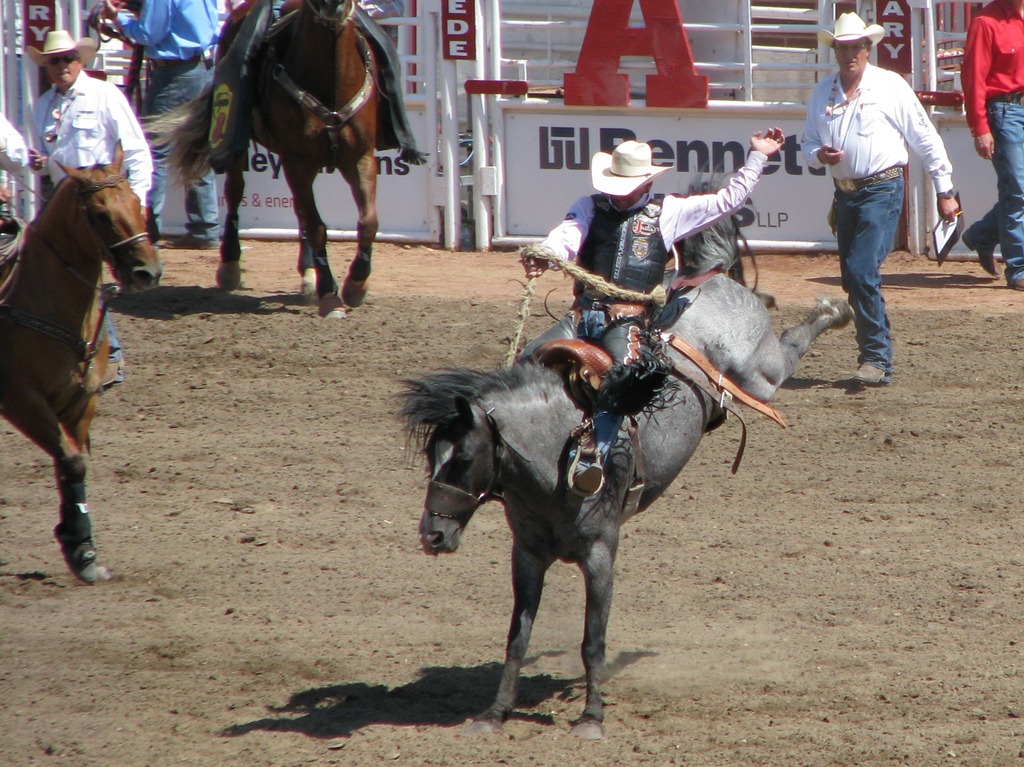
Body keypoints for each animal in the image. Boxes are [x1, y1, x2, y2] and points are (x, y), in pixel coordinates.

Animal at [0, 148, 161, 581]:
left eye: (137, 201)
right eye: (101, 214)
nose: (148, 272)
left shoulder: (81, 401)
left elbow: (71, 466)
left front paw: (81, 548)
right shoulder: (21, 398)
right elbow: (71, 462)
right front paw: (79, 547)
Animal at [151, 0, 415, 317]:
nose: (333, 6)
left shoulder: (360, 158)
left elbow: (368, 223)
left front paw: (356, 285)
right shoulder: (296, 161)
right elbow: (316, 227)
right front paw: (330, 294)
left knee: (301, 212)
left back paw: (308, 273)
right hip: (243, 146)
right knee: (236, 193)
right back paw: (230, 266)